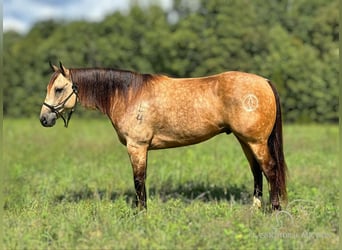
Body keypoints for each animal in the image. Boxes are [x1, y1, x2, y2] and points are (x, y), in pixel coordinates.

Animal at [38, 62, 288, 209]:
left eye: (58, 89)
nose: (44, 119)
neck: (128, 95)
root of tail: (264, 81)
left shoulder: (137, 147)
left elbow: (139, 180)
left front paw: (141, 213)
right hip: (246, 141)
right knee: (257, 172)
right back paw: (256, 209)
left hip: (256, 142)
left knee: (270, 170)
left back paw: (274, 209)